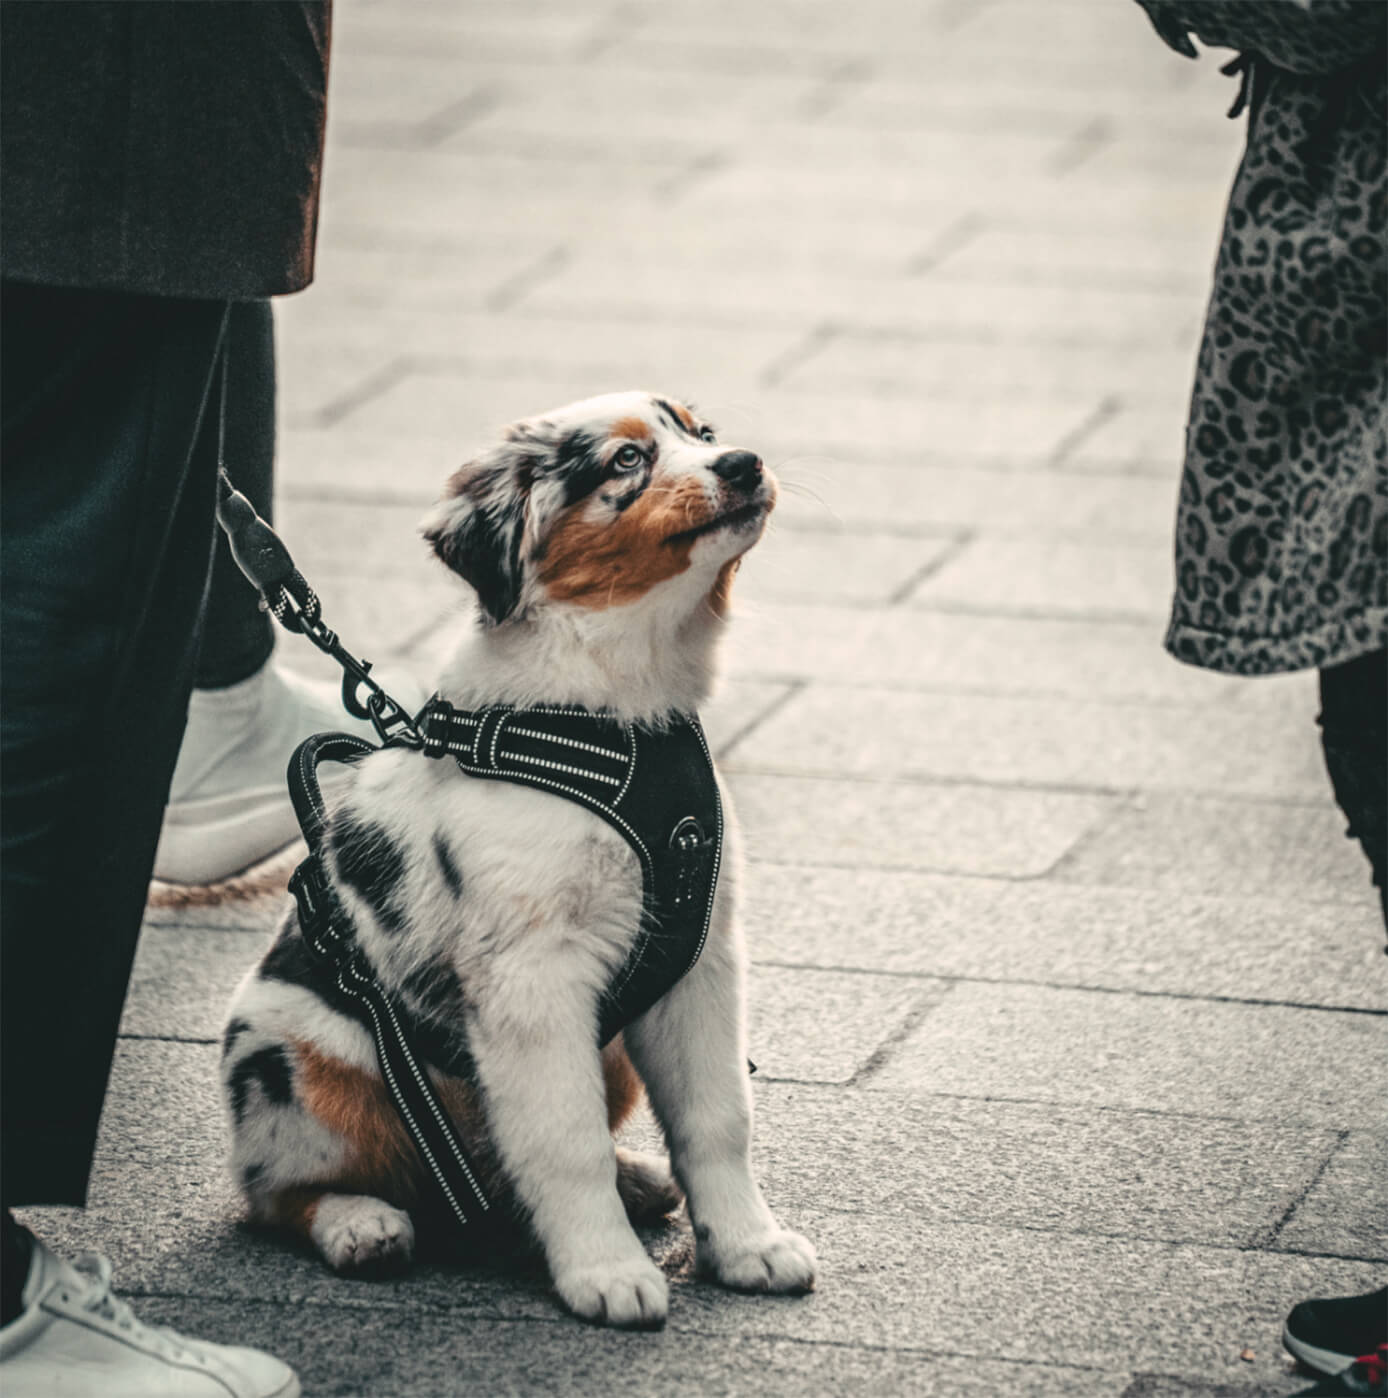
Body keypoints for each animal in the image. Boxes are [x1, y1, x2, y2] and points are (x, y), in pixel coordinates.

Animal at [222, 394, 816, 1330]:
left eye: (705, 435)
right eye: (625, 462)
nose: (745, 465)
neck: (618, 712)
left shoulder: (700, 960)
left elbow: (718, 1115)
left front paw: (748, 1246)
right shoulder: (533, 975)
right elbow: (564, 1140)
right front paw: (606, 1272)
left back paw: (635, 1180)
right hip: (299, 1062)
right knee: (276, 1190)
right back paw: (360, 1224)